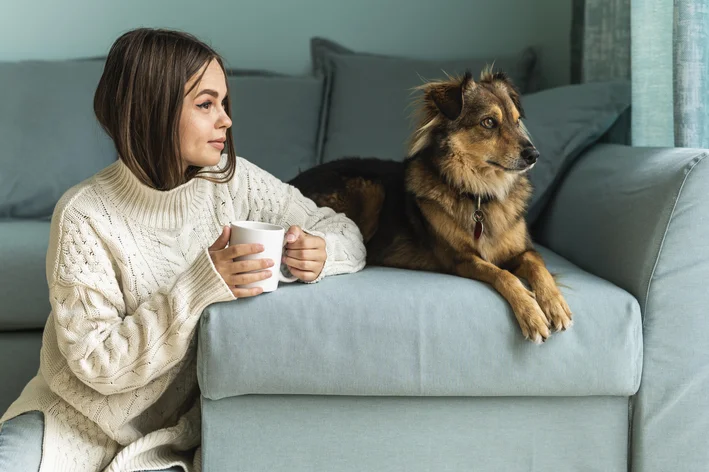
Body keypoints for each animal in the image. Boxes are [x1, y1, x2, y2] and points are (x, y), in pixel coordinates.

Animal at [290, 68, 572, 342]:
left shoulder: (522, 250)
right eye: (489, 122)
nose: (534, 155)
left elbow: (538, 265)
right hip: (372, 189)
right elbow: (504, 274)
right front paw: (531, 312)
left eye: (516, 120)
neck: (480, 194)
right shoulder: (460, 259)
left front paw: (555, 304)